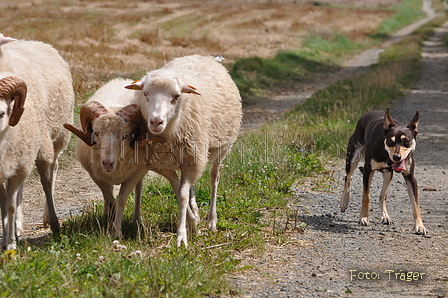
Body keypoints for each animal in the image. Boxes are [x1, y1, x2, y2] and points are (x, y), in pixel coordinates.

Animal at [64, 78, 165, 239]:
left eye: (125, 136)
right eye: (96, 133)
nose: (107, 163)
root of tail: (123, 80)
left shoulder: (134, 174)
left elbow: (121, 200)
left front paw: (116, 231)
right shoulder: (95, 174)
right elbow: (109, 198)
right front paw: (109, 219)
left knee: (139, 190)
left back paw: (137, 218)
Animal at [124, 54, 243, 247]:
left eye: (176, 96)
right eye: (145, 94)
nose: (156, 121)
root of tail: (205, 57)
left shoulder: (192, 159)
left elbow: (183, 195)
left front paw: (182, 235)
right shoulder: (166, 164)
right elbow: (180, 194)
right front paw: (192, 222)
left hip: (222, 148)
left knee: (214, 179)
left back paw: (212, 220)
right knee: (192, 185)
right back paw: (196, 212)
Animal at [342, 107, 426, 235]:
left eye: (406, 141)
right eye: (390, 141)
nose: (397, 157)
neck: (386, 155)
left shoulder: (410, 178)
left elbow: (416, 205)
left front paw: (420, 226)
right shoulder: (368, 171)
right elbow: (366, 197)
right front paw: (364, 218)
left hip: (388, 174)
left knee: (383, 195)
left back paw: (385, 216)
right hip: (353, 158)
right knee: (348, 177)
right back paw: (344, 202)